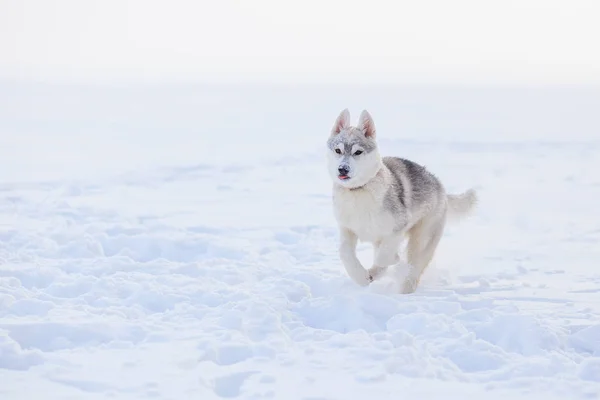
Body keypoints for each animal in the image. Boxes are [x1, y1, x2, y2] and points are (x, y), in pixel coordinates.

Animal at [326, 108, 476, 294]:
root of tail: (440, 187)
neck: (359, 191)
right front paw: (361, 277)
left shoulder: (397, 227)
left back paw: (405, 289)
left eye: (357, 152)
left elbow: (385, 255)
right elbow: (345, 253)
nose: (343, 169)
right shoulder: (347, 229)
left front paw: (393, 261)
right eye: (338, 150)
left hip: (422, 238)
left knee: (414, 267)